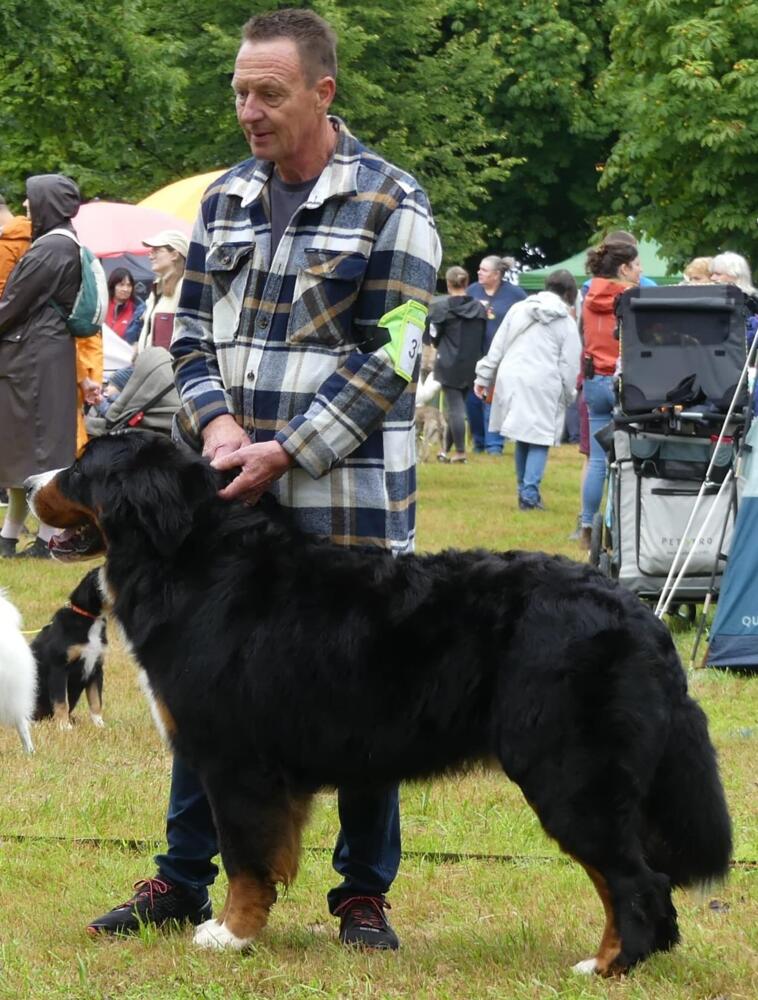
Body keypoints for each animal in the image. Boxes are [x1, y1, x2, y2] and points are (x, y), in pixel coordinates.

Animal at [32, 569, 107, 729]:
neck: (90, 620)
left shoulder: (96, 669)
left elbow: (96, 701)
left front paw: (99, 725)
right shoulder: (59, 668)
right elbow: (61, 702)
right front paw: (64, 726)